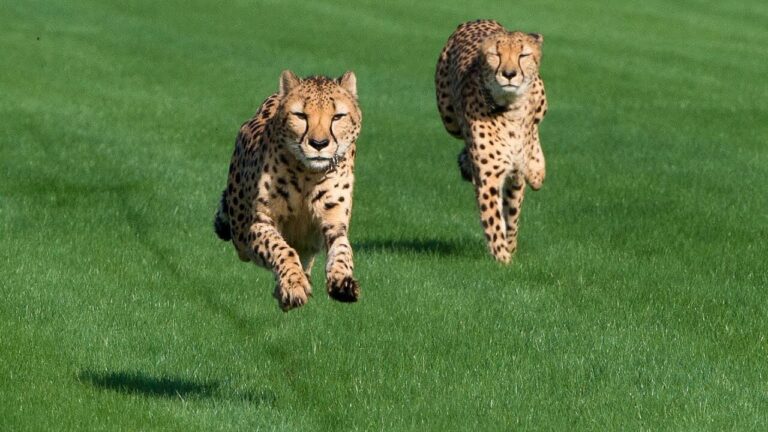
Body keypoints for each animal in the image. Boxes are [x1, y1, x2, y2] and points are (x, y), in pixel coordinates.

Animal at [214, 70, 362, 311]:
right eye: (300, 115)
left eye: (337, 116)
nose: (319, 144)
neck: (308, 173)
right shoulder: (260, 224)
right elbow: (281, 249)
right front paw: (293, 286)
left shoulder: (334, 224)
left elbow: (342, 250)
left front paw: (342, 282)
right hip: (241, 239)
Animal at [435, 19, 548, 264]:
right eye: (496, 54)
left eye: (523, 55)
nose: (509, 74)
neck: (510, 110)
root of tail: (477, 21)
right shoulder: (489, 178)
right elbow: (494, 222)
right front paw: (504, 261)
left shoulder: (515, 175)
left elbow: (512, 215)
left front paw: (510, 251)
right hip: (449, 118)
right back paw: (466, 164)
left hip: (541, 96)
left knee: (535, 125)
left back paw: (536, 170)